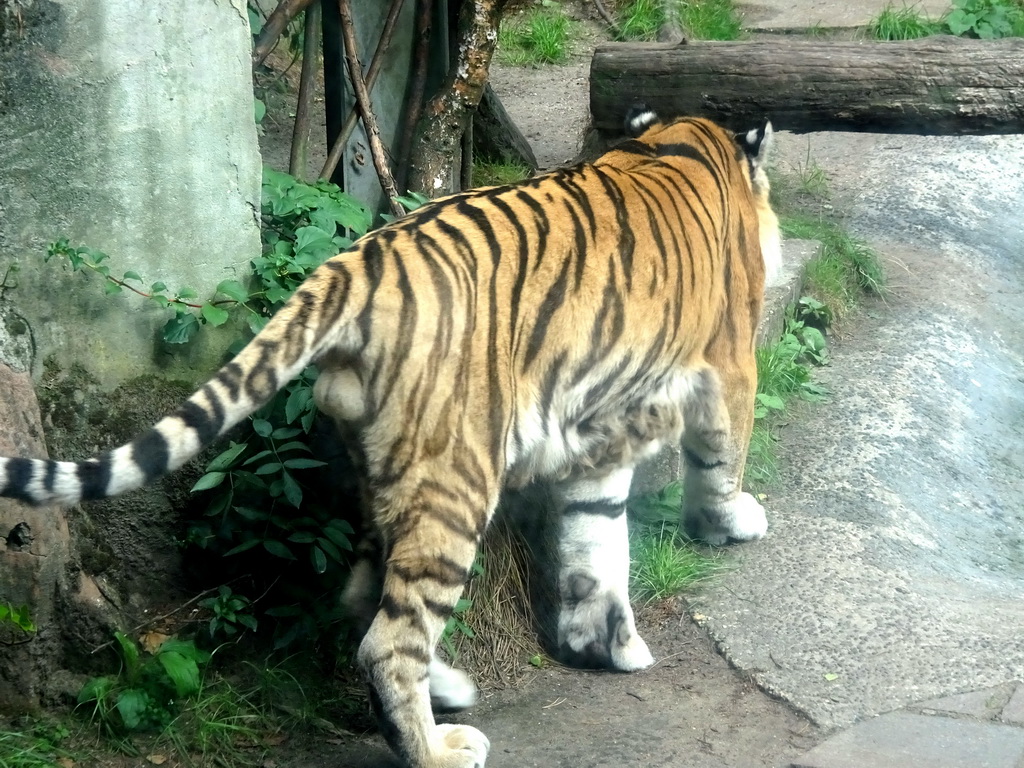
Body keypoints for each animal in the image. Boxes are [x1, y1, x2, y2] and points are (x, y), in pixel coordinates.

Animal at [0, 105, 778, 765]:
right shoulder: (731, 360)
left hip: (384, 469)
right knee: (389, 641)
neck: (683, 141)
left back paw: (450, 691)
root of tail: (354, 265)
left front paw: (601, 643)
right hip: (455, 480)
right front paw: (733, 521)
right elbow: (720, 456)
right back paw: (438, 748)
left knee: (362, 598)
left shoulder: (603, 436)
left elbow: (597, 538)